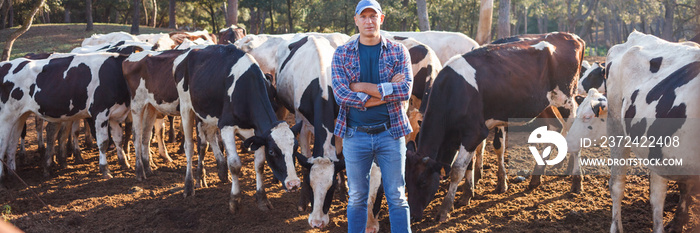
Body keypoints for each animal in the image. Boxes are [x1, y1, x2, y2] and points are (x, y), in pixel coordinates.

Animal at [0, 52, 131, 182]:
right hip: (6, 117)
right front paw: (105, 170)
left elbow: (118, 138)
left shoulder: (115, 115)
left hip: (20, 117)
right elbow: (104, 142)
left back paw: (13, 175)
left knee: (11, 146)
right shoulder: (100, 112)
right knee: (3, 145)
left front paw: (124, 163)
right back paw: (2, 177)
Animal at [174, 43, 300, 213]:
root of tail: (189, 51)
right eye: (272, 152)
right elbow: (234, 164)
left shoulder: (258, 134)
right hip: (186, 107)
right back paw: (189, 187)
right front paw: (234, 201)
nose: (294, 184)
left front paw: (262, 199)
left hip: (208, 113)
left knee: (208, 137)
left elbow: (259, 165)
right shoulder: (226, 126)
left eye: (295, 149)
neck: (246, 89)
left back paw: (216, 173)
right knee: (189, 146)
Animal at [404, 31, 584, 222]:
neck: (454, 92)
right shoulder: (467, 135)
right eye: (406, 182)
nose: (412, 215)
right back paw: (536, 177)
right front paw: (467, 195)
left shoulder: (474, 133)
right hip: (545, 105)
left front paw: (445, 208)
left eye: (423, 181)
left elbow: (457, 169)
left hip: (566, 101)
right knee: (554, 128)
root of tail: (571, 36)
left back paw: (576, 182)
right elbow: (469, 164)